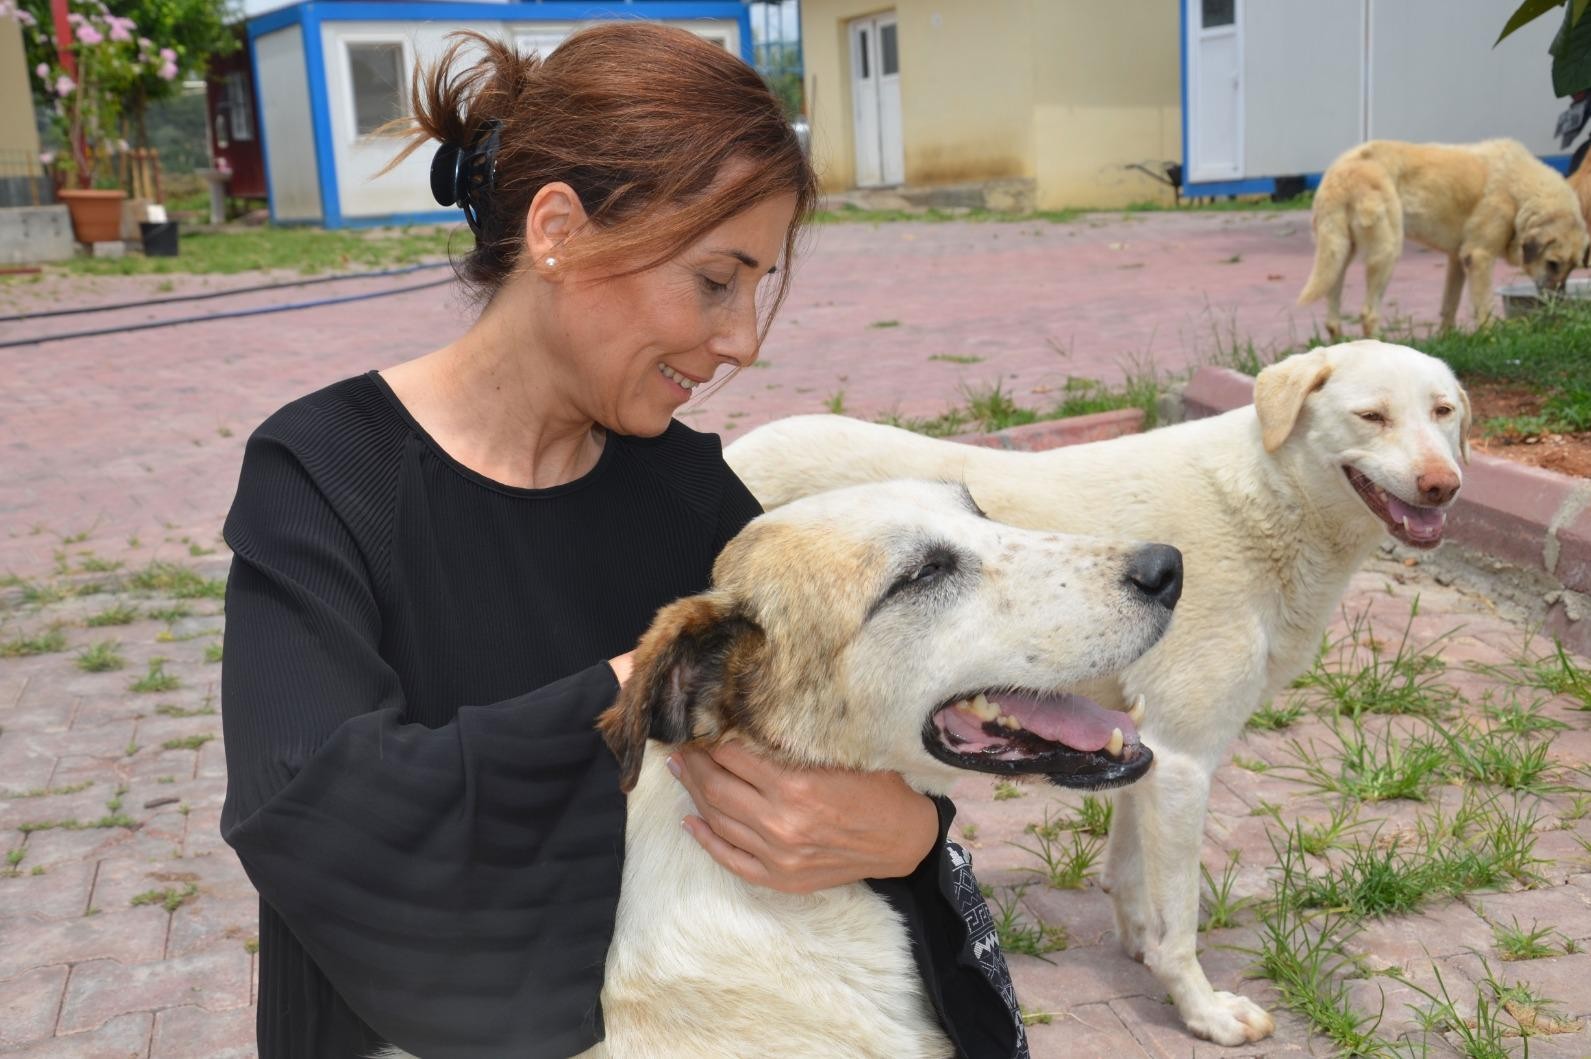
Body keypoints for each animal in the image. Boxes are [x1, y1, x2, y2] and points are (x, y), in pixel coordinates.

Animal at [728, 341, 1470, 1043]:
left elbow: (1132, 868)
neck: (1266, 497)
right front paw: (1203, 1010)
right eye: (1370, 416)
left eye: (1444, 412)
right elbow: (1181, 920)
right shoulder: (1184, 758)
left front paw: (1138, 940)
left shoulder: (1145, 747)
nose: (1442, 485)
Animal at [1298, 135, 1584, 333]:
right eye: (1553, 263)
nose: (1558, 304)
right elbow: (1484, 308)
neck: (1521, 191)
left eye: (1571, 268)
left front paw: (1448, 341)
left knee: (1333, 320)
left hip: (1339, 254)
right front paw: (1490, 338)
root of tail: (1342, 173)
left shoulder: (1458, 259)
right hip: (1387, 253)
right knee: (1368, 314)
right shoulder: (1479, 257)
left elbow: (1449, 306)